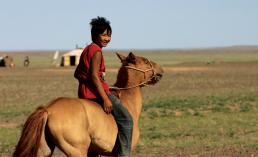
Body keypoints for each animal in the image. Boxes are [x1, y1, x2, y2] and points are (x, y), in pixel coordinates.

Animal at [12, 52, 163, 157]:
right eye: (145, 61)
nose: (160, 69)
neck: (127, 102)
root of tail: (48, 110)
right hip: (77, 151)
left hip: (44, 150)